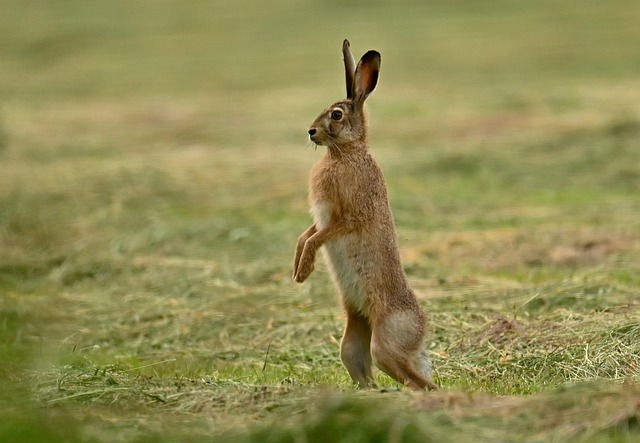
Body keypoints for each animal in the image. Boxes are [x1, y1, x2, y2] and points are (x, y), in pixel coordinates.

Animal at [293, 39, 437, 391]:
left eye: (337, 115)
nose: (311, 131)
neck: (343, 153)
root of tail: (420, 332)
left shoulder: (348, 216)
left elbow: (319, 236)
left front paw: (305, 270)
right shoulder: (322, 217)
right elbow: (307, 234)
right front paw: (296, 269)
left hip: (385, 344)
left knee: (417, 381)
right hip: (353, 342)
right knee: (363, 370)